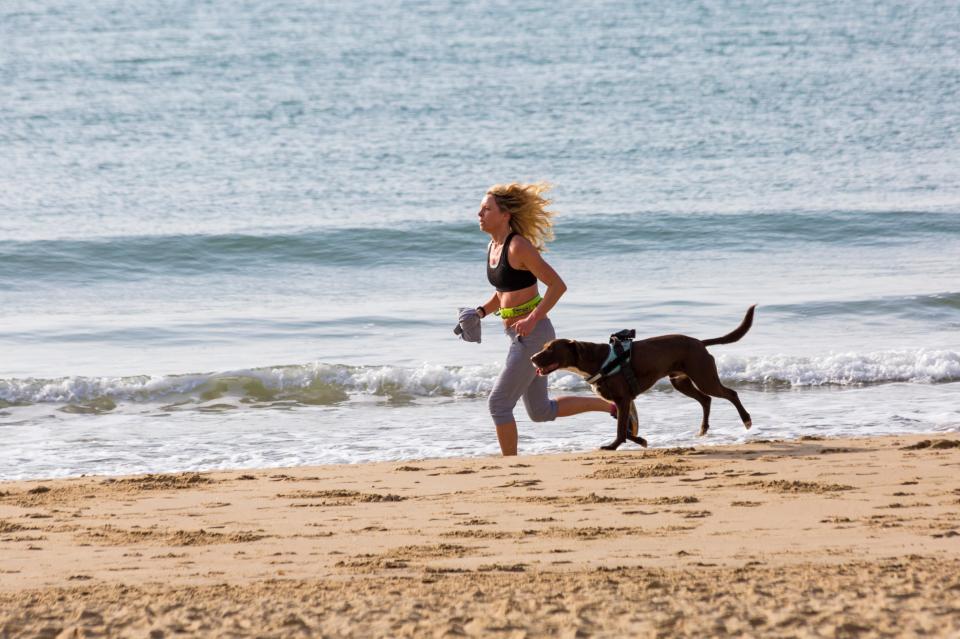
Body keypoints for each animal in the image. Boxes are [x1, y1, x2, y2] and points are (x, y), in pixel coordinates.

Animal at [528, 306, 752, 450]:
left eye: (551, 349)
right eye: (544, 347)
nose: (531, 358)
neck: (595, 360)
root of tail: (699, 343)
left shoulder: (623, 399)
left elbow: (620, 430)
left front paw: (612, 446)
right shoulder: (623, 402)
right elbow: (626, 429)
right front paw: (641, 441)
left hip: (704, 377)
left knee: (730, 394)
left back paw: (747, 420)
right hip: (680, 381)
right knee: (706, 400)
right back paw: (703, 429)